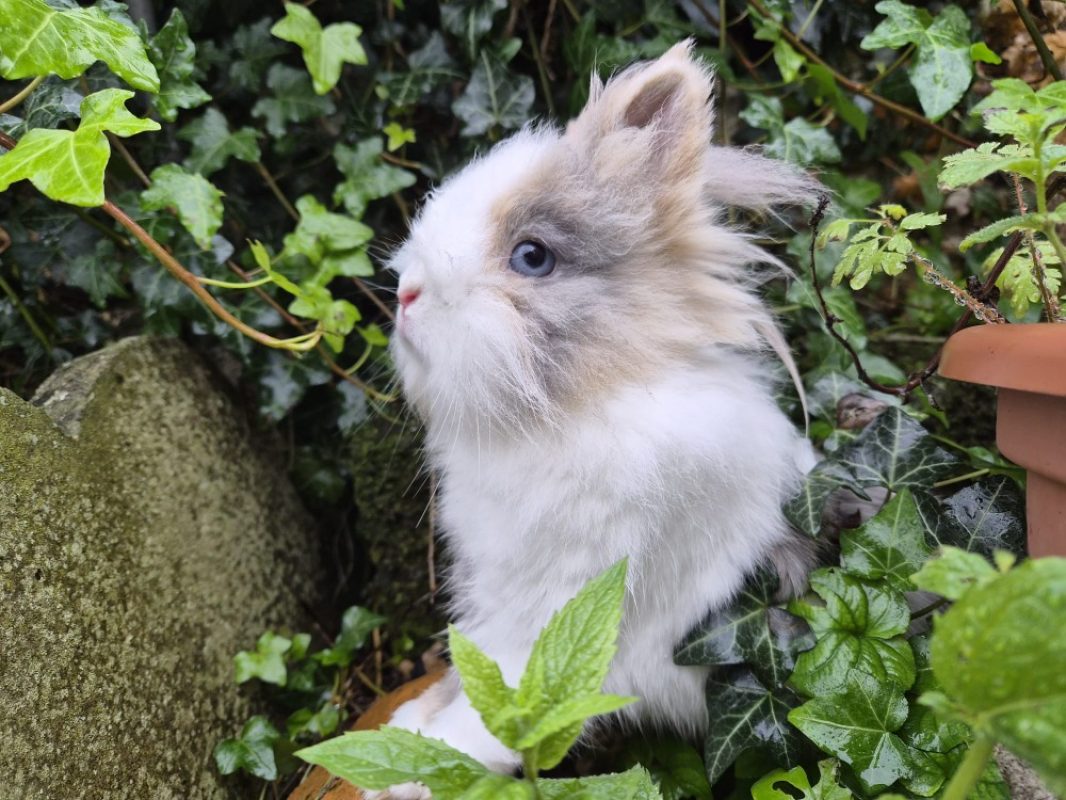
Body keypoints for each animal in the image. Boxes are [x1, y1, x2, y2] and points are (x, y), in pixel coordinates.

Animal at [377, 40, 821, 799]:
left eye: (532, 256)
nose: (407, 294)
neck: (583, 407)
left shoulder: (558, 619)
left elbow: (497, 716)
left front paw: (411, 772)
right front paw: (406, 725)